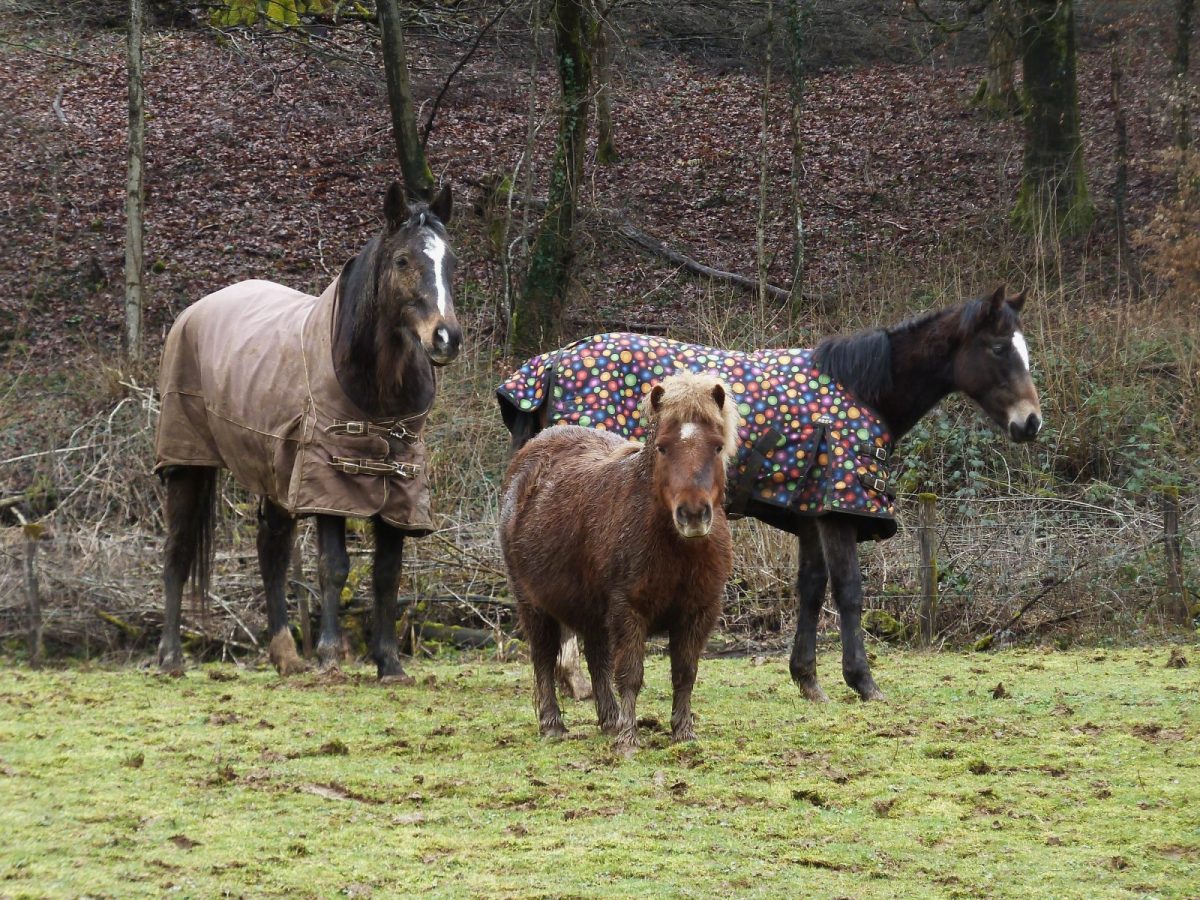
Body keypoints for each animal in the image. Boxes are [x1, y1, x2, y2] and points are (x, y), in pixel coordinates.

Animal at [154, 180, 458, 681]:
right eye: (402, 260)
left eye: (450, 261)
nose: (446, 338)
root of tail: (190, 314)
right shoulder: (329, 478)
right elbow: (333, 566)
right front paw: (332, 654)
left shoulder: (400, 487)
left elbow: (387, 572)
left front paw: (389, 663)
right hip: (186, 464)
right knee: (177, 551)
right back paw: (171, 657)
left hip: (273, 472)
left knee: (271, 551)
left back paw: (285, 655)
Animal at [496, 289, 1041, 705]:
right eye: (998, 348)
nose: (1031, 422)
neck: (864, 390)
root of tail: (549, 367)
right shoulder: (839, 512)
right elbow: (849, 591)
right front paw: (862, 682)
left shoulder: (811, 511)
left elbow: (811, 589)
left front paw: (808, 680)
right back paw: (577, 679)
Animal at [496, 374, 739, 753]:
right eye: (663, 447)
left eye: (716, 446)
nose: (693, 515)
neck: (676, 547)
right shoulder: (628, 609)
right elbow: (630, 674)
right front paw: (629, 739)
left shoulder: (699, 610)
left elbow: (685, 672)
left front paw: (683, 732)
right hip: (533, 605)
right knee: (544, 658)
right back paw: (553, 724)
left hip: (590, 609)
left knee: (596, 658)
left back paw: (608, 720)